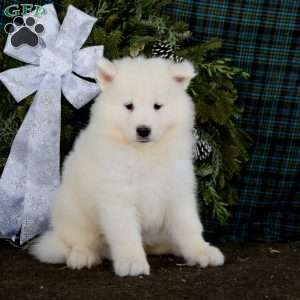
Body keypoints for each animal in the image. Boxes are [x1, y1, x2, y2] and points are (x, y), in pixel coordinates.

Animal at [29, 56, 224, 276]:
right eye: (129, 106)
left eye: (157, 106)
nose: (143, 130)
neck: (144, 154)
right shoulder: (118, 197)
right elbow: (126, 234)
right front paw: (132, 262)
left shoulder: (177, 192)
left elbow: (189, 226)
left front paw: (201, 251)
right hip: (73, 211)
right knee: (79, 241)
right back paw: (82, 256)